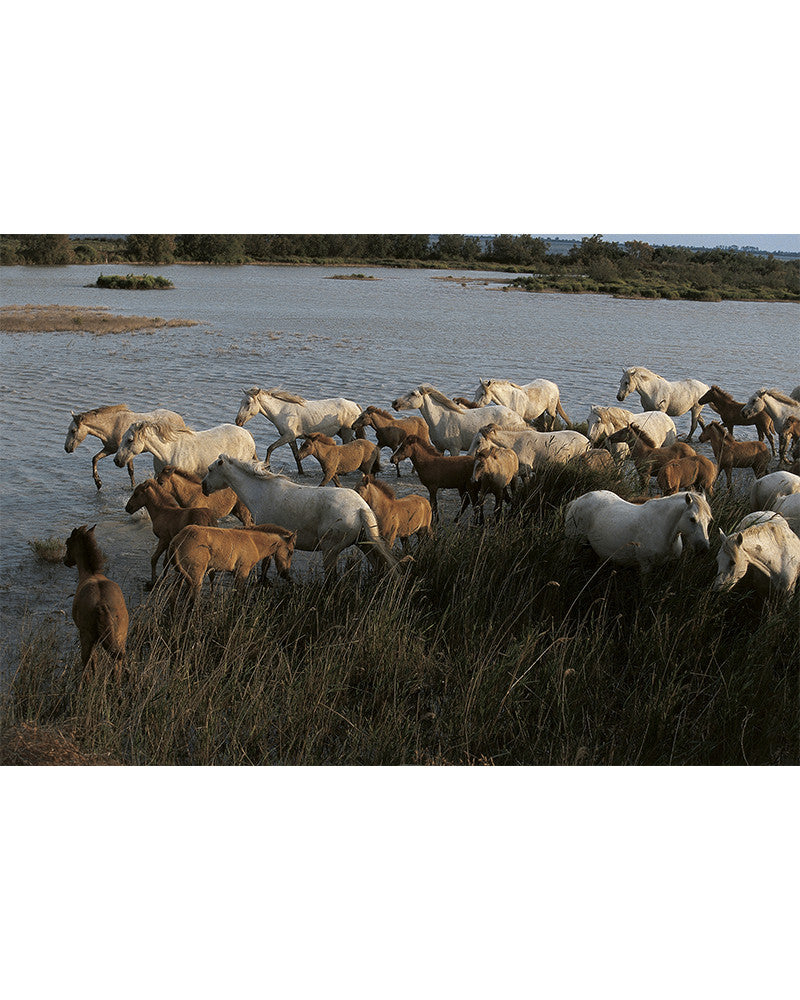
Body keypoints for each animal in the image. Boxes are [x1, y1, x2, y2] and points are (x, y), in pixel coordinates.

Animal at [63, 525, 129, 675]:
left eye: (67, 543)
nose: (64, 560)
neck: (91, 574)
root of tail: (102, 604)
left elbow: (93, 660)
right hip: (120, 638)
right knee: (117, 667)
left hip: (86, 637)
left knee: (86, 662)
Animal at [167, 523, 296, 598]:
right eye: (290, 552)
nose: (285, 573)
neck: (253, 541)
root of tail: (176, 540)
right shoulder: (242, 572)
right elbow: (239, 595)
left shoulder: (236, 573)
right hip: (195, 577)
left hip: (181, 575)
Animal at [201, 455, 398, 581]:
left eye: (210, 469)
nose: (203, 487)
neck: (261, 491)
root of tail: (360, 508)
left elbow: (265, 564)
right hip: (365, 544)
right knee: (378, 566)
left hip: (330, 549)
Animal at [392, 384, 525, 456]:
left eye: (413, 394)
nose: (394, 403)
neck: (440, 420)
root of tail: (519, 419)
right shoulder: (439, 448)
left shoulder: (454, 449)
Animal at [564, 490, 712, 573]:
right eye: (692, 519)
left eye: (709, 520)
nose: (704, 549)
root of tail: (578, 500)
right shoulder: (646, 567)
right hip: (574, 545)